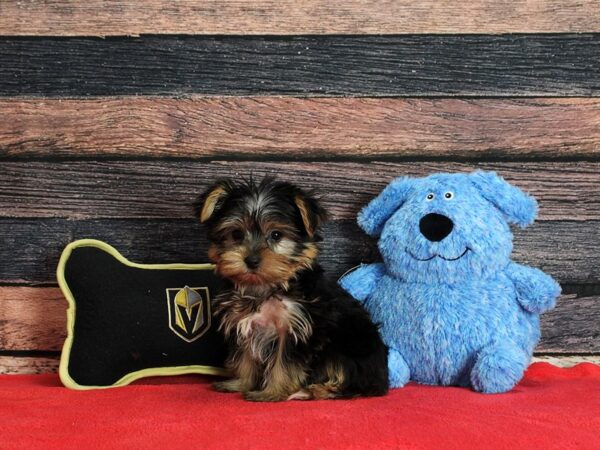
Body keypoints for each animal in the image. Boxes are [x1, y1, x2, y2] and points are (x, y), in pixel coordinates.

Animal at [195, 178, 386, 402]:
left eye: (276, 235)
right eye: (236, 234)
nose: (251, 260)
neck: (265, 287)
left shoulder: (295, 327)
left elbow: (284, 363)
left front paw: (272, 392)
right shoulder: (245, 323)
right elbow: (245, 356)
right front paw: (241, 383)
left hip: (348, 348)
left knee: (349, 379)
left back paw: (314, 390)